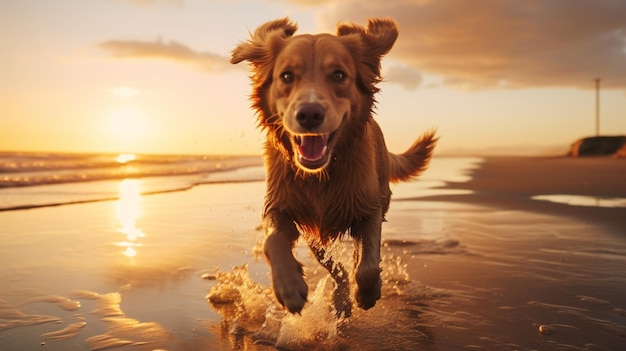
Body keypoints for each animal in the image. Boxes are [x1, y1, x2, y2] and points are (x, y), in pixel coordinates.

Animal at [229, 17, 434, 318]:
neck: (320, 176)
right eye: (287, 76)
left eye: (338, 75)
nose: (309, 114)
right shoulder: (282, 206)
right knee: (336, 270)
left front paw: (368, 293)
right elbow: (272, 241)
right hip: (315, 235)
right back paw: (340, 301)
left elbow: (367, 264)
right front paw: (289, 286)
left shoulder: (369, 208)